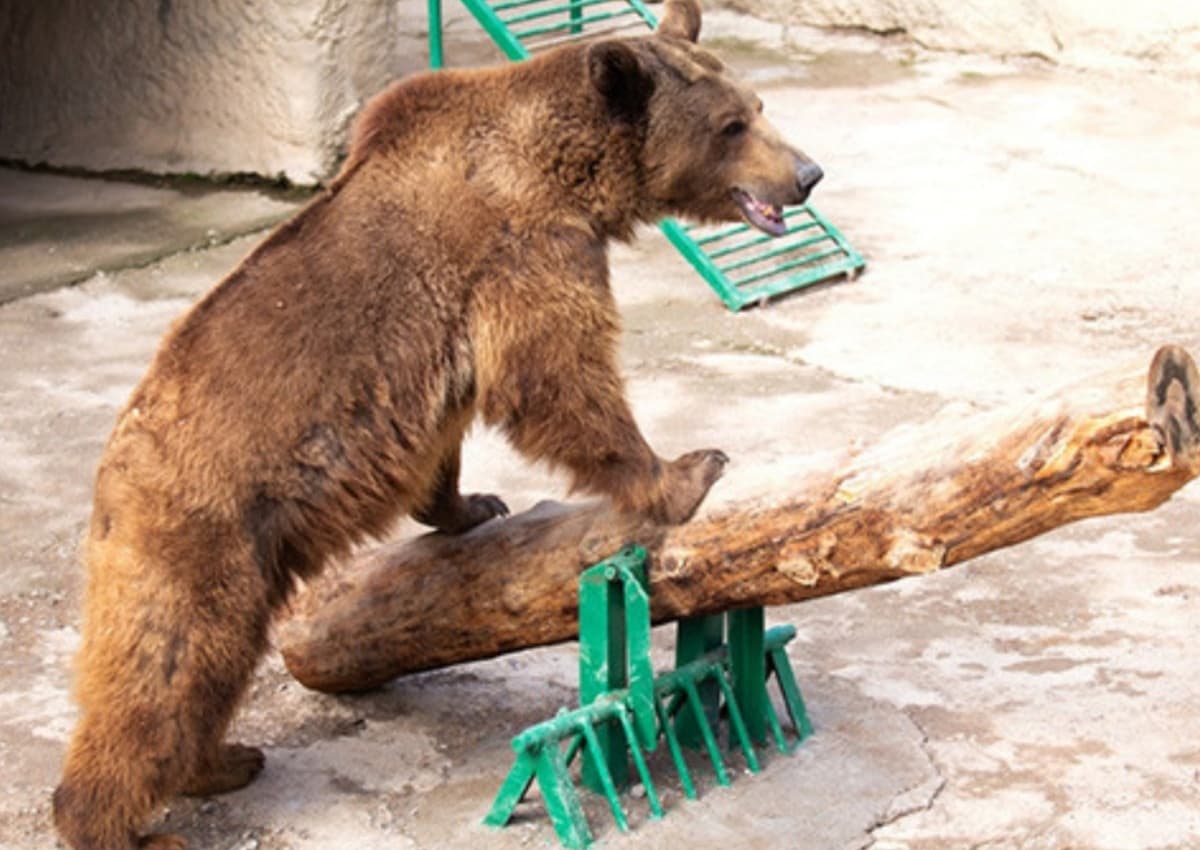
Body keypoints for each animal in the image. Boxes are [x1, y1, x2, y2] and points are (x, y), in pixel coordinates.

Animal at [52, 1, 824, 847]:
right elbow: (558, 375)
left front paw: (472, 504)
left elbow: (454, 435)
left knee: (205, 672)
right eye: (730, 125)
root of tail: (110, 473)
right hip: (201, 531)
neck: (567, 172)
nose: (807, 175)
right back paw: (120, 818)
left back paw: (222, 761)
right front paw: (685, 470)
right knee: (167, 667)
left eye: (757, 105)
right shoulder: (524, 249)